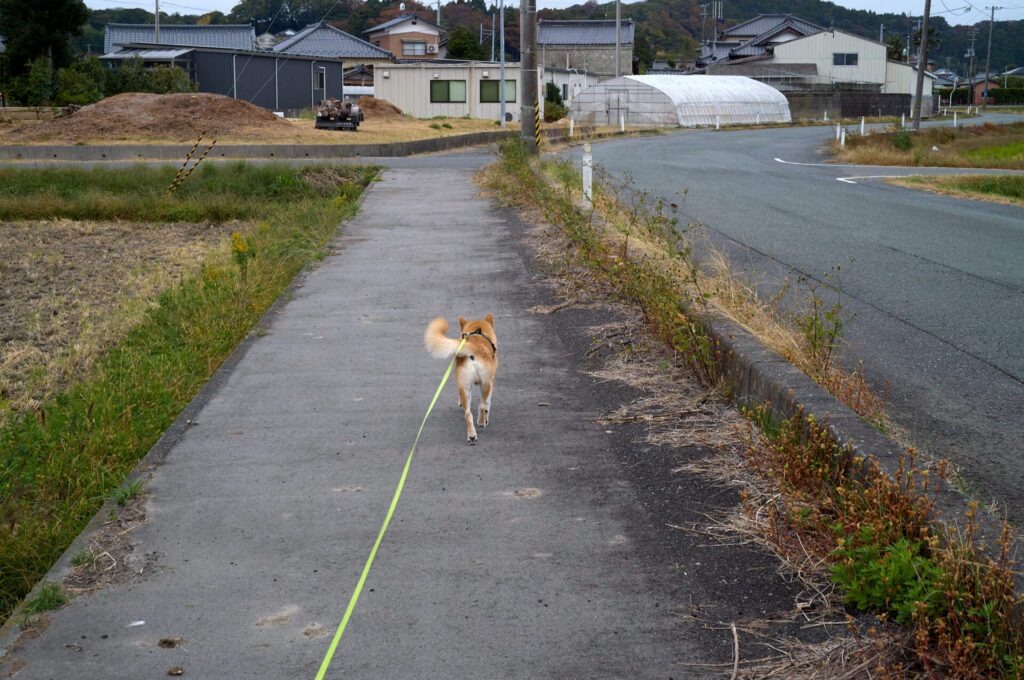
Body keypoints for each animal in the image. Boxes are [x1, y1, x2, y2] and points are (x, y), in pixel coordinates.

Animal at [423, 315, 499, 444]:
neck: (478, 332)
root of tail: (474, 347)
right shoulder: (491, 381)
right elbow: (488, 404)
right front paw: (486, 419)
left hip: (463, 386)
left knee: (468, 414)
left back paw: (472, 436)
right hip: (486, 384)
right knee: (482, 406)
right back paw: (481, 422)